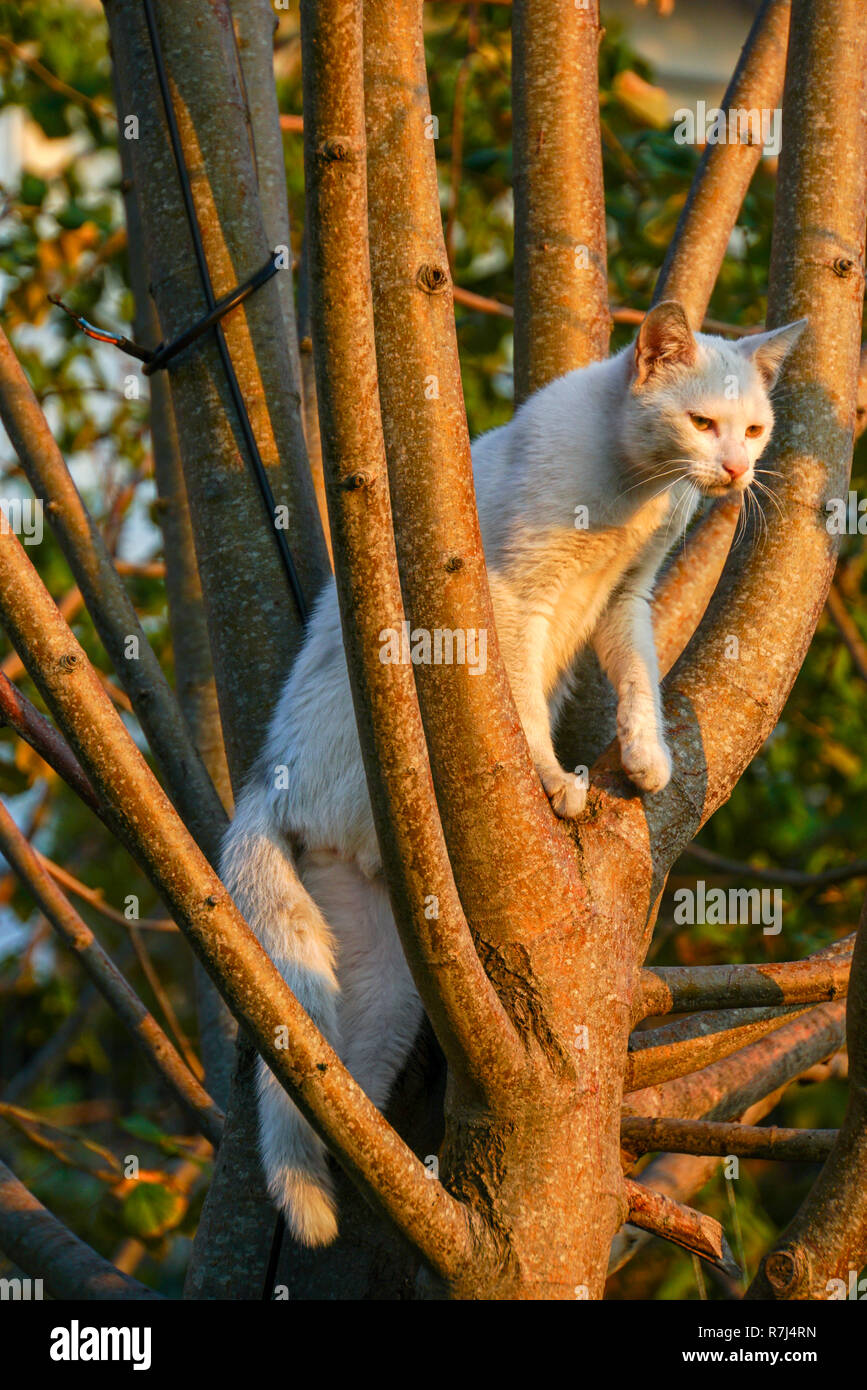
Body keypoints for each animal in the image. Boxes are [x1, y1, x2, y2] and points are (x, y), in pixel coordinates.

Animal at [219, 304, 800, 1251]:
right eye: (701, 422)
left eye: (752, 429)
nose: (734, 471)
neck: (632, 493)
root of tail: (266, 780)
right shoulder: (507, 600)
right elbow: (521, 700)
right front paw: (551, 780)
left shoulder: (627, 600)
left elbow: (637, 675)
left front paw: (645, 756)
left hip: (384, 982)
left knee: (330, 1078)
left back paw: (384, 1178)